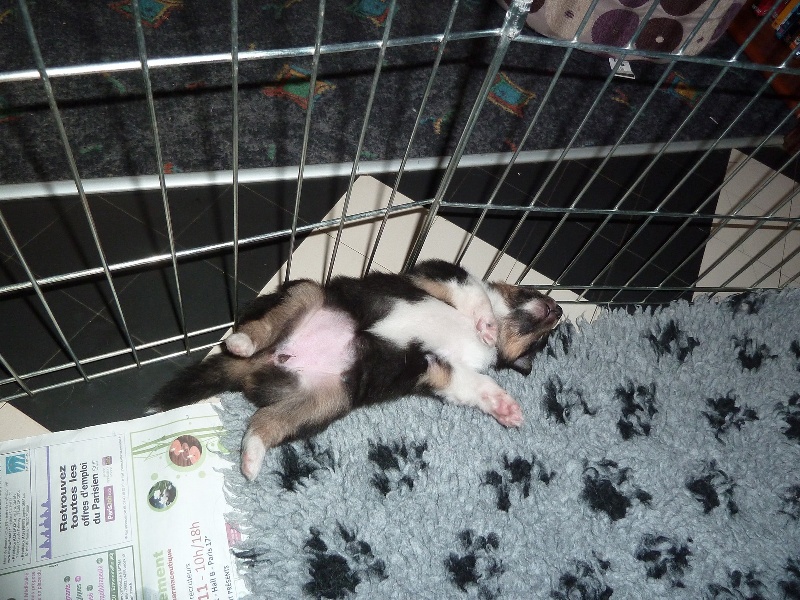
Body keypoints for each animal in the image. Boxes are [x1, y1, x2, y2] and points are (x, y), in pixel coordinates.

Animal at [146, 260, 562, 480]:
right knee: (260, 328)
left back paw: (250, 460)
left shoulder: (440, 368)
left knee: (264, 423)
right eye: (534, 294)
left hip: (327, 400)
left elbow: (477, 386)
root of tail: (260, 364)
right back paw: (240, 343)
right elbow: (475, 292)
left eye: (540, 342)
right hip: (307, 294)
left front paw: (508, 410)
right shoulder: (434, 273)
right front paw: (488, 324)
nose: (558, 310)